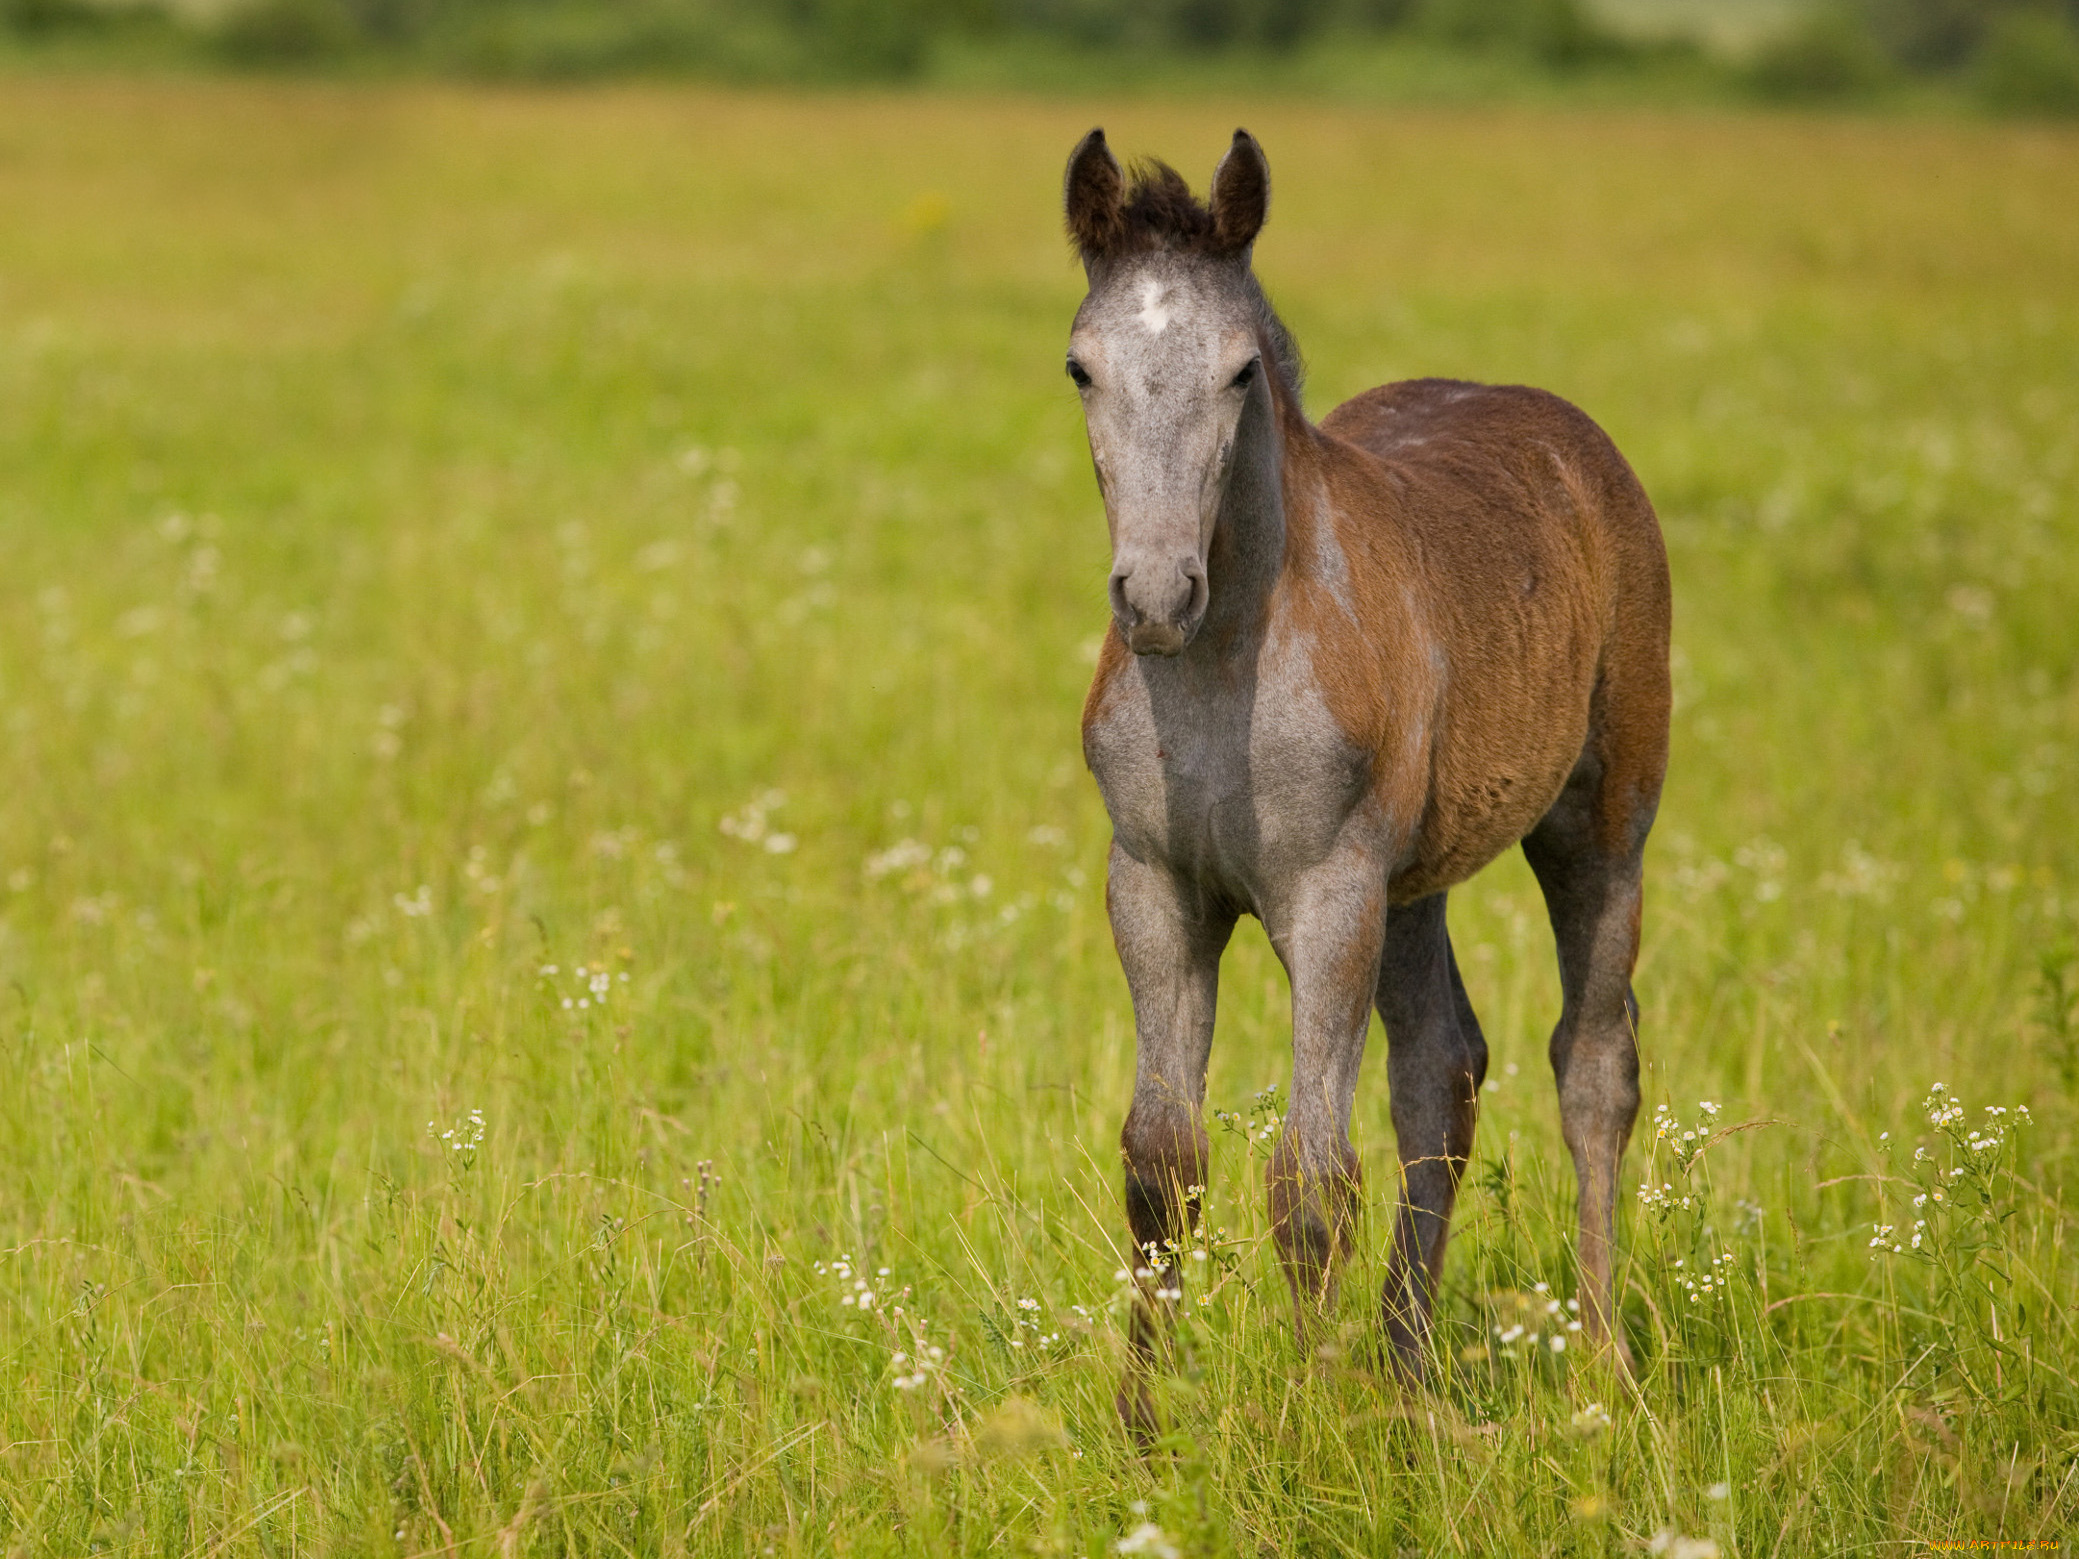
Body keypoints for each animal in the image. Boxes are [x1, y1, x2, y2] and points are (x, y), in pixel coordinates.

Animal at [1064, 128, 1679, 1438]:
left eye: (1241, 370)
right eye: (1082, 367)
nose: (1155, 593)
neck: (1224, 666)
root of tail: (1576, 439)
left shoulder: (1329, 891)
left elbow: (1307, 1178)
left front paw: (1304, 1426)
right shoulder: (1154, 885)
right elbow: (1160, 1160)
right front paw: (1142, 1429)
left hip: (1601, 823)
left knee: (1595, 1065)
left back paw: (1601, 1370)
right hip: (1414, 884)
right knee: (1441, 1068)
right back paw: (1403, 1368)